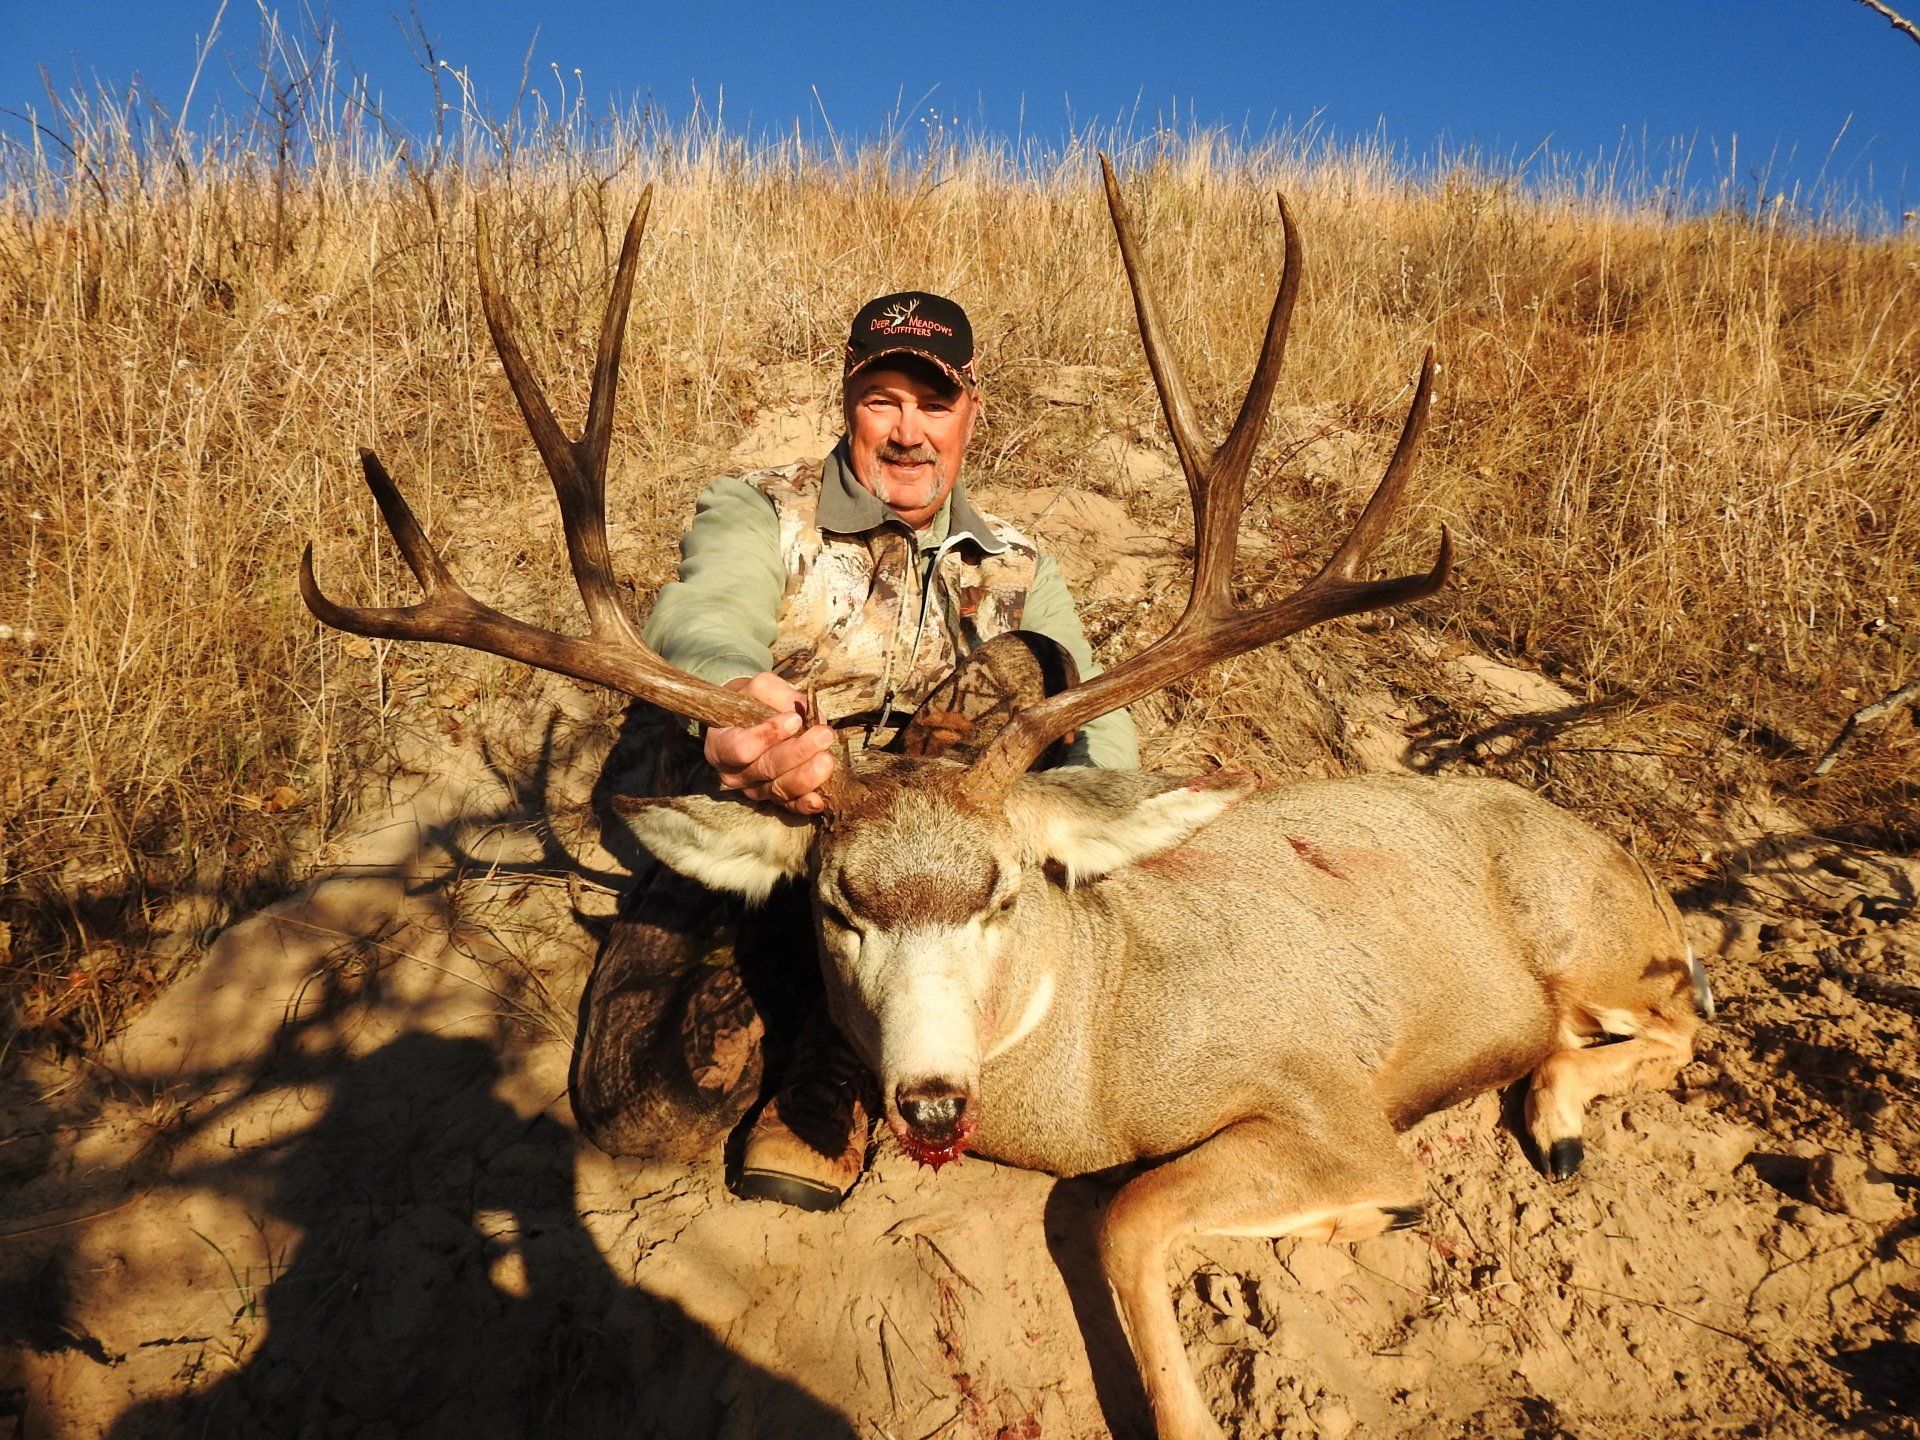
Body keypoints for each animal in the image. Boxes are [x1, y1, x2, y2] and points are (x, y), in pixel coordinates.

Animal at [300, 160, 1713, 1440]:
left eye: (1002, 892)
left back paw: (1558, 1116)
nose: (929, 1103)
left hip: (1589, 936)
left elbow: (1132, 1213)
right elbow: (1134, 1211)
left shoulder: (1331, 1100)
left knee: (1679, 1021)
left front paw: (1379, 1208)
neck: (1100, 1056)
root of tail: (1621, 857)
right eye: (833, 907)